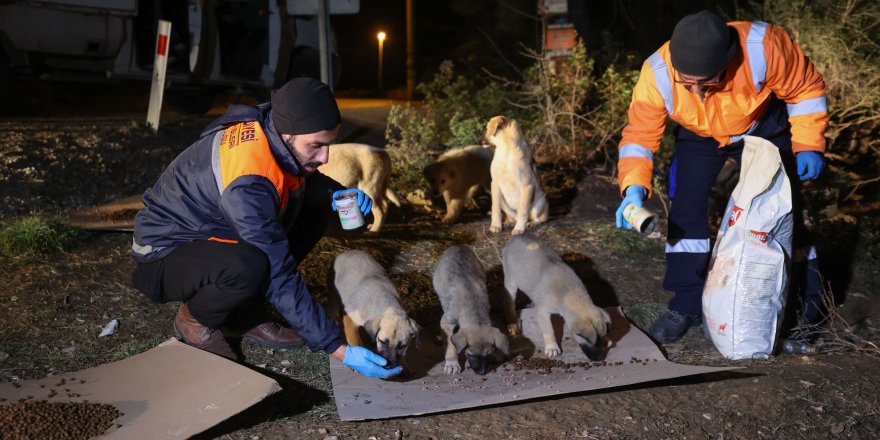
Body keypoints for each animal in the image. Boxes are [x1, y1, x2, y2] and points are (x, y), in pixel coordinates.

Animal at [434, 244, 508, 374]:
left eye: (488, 355)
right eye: (472, 355)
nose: (482, 372)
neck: (474, 309)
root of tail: (457, 245)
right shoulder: (447, 322)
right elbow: (450, 345)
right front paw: (452, 363)